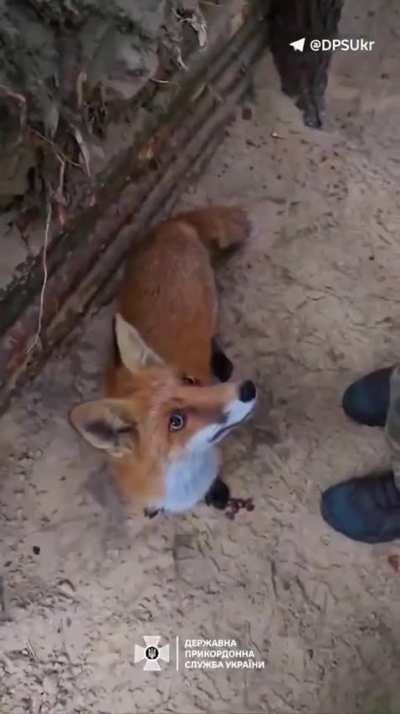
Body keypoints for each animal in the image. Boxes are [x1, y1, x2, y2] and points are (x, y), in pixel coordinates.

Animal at [69, 205, 257, 516]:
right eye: (176, 422)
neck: (180, 485)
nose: (247, 389)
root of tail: (165, 227)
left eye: (189, 380)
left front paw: (217, 492)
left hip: (210, 303)